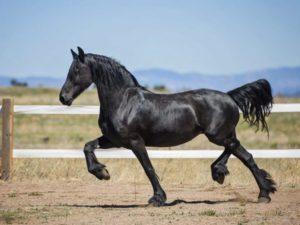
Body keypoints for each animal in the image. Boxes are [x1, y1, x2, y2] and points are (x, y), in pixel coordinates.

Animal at [59, 47, 276, 206]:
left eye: (76, 70)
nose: (63, 98)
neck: (123, 101)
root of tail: (230, 96)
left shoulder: (135, 141)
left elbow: (148, 167)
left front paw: (157, 198)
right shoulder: (114, 140)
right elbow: (88, 146)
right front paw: (101, 172)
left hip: (217, 135)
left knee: (239, 151)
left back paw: (247, 185)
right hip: (223, 134)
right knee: (241, 152)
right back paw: (243, 183)